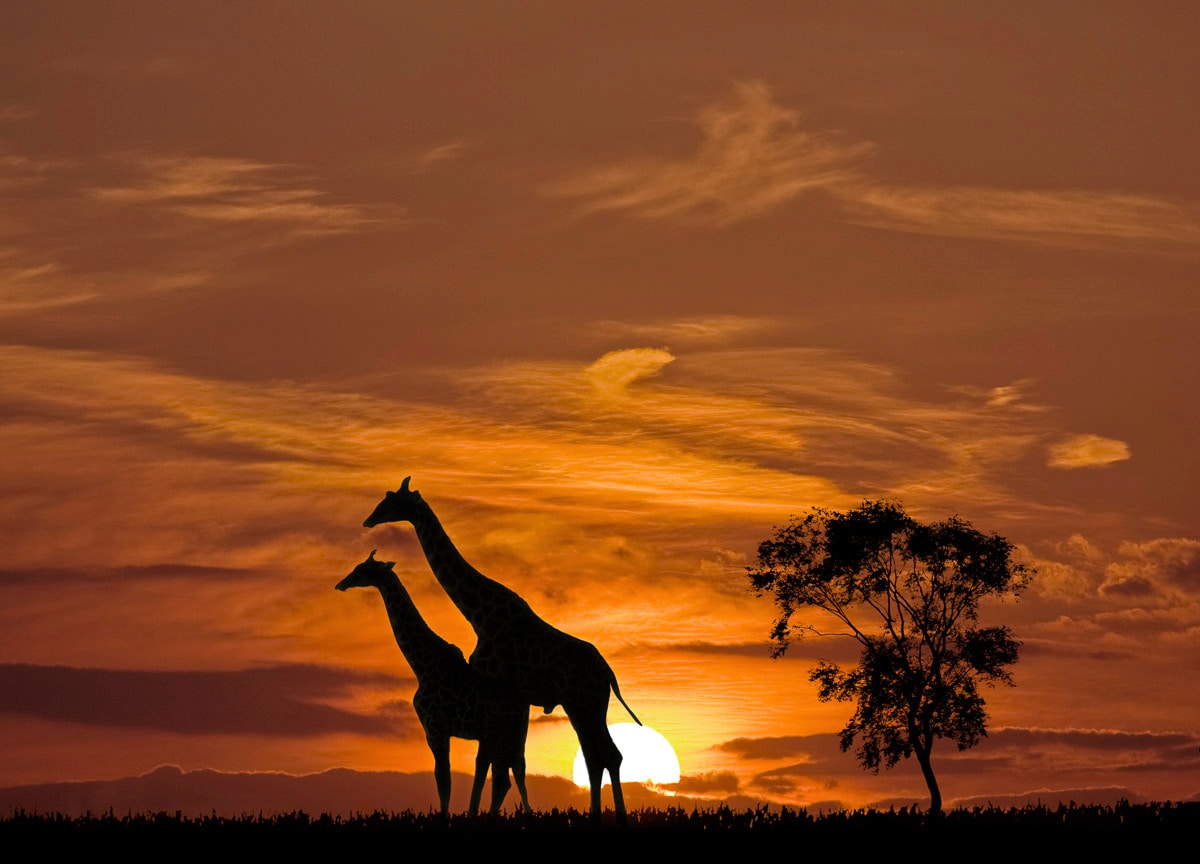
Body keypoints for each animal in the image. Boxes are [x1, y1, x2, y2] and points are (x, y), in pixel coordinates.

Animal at [333, 549, 530, 811]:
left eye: (362, 570)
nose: (341, 584)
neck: (421, 664)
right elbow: (445, 780)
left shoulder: (434, 728)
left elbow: (443, 781)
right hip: (514, 737)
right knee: (517, 774)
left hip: (496, 733)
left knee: (502, 780)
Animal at [362, 475, 648, 825]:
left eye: (392, 501)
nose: (369, 520)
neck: (478, 613)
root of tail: (608, 673)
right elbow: (487, 761)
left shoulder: (493, 688)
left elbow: (484, 762)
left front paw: (478, 814)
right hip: (589, 705)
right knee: (603, 754)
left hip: (581, 703)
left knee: (602, 754)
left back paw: (608, 816)